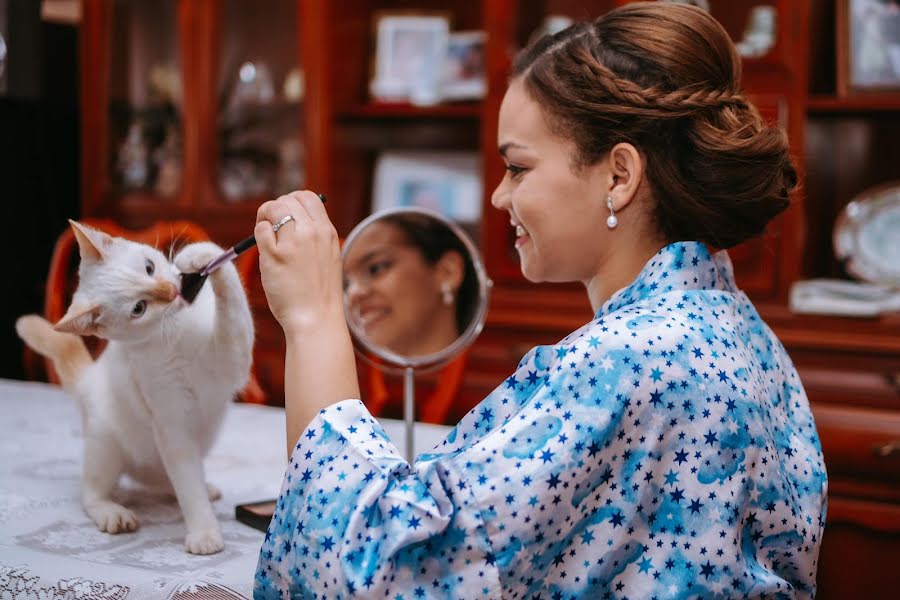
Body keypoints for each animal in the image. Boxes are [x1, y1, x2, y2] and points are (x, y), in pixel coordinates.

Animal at [15, 220, 253, 552]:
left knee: (169, 477)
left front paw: (197, 255)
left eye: (149, 267)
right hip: (106, 447)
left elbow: (230, 297)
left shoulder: (231, 357)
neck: (175, 331)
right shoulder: (172, 423)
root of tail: (89, 379)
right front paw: (204, 533)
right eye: (139, 308)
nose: (171, 291)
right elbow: (188, 487)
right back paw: (113, 513)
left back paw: (205, 487)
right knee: (92, 493)